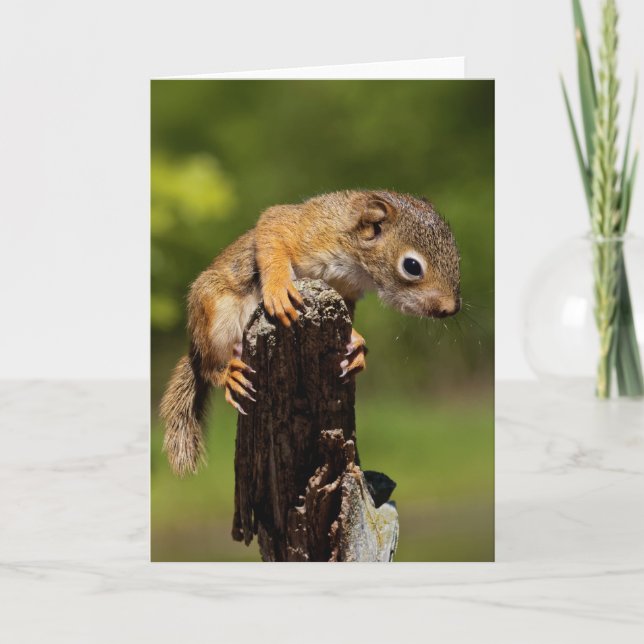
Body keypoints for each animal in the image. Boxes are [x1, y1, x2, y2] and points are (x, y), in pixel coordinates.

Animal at [160, 190, 461, 477]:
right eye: (412, 266)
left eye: (457, 257)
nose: (451, 308)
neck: (357, 262)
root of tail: (195, 347)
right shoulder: (307, 228)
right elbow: (273, 229)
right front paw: (279, 288)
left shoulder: (345, 290)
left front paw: (356, 345)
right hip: (214, 314)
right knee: (209, 366)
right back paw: (227, 372)